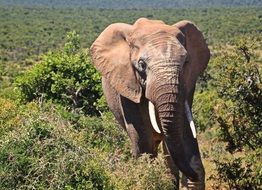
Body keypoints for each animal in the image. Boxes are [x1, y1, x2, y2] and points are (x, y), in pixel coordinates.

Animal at [91, 17, 210, 189]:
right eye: (142, 64)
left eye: (186, 62)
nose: (192, 175)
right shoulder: (127, 85)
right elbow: (144, 146)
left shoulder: (188, 86)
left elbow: (185, 134)